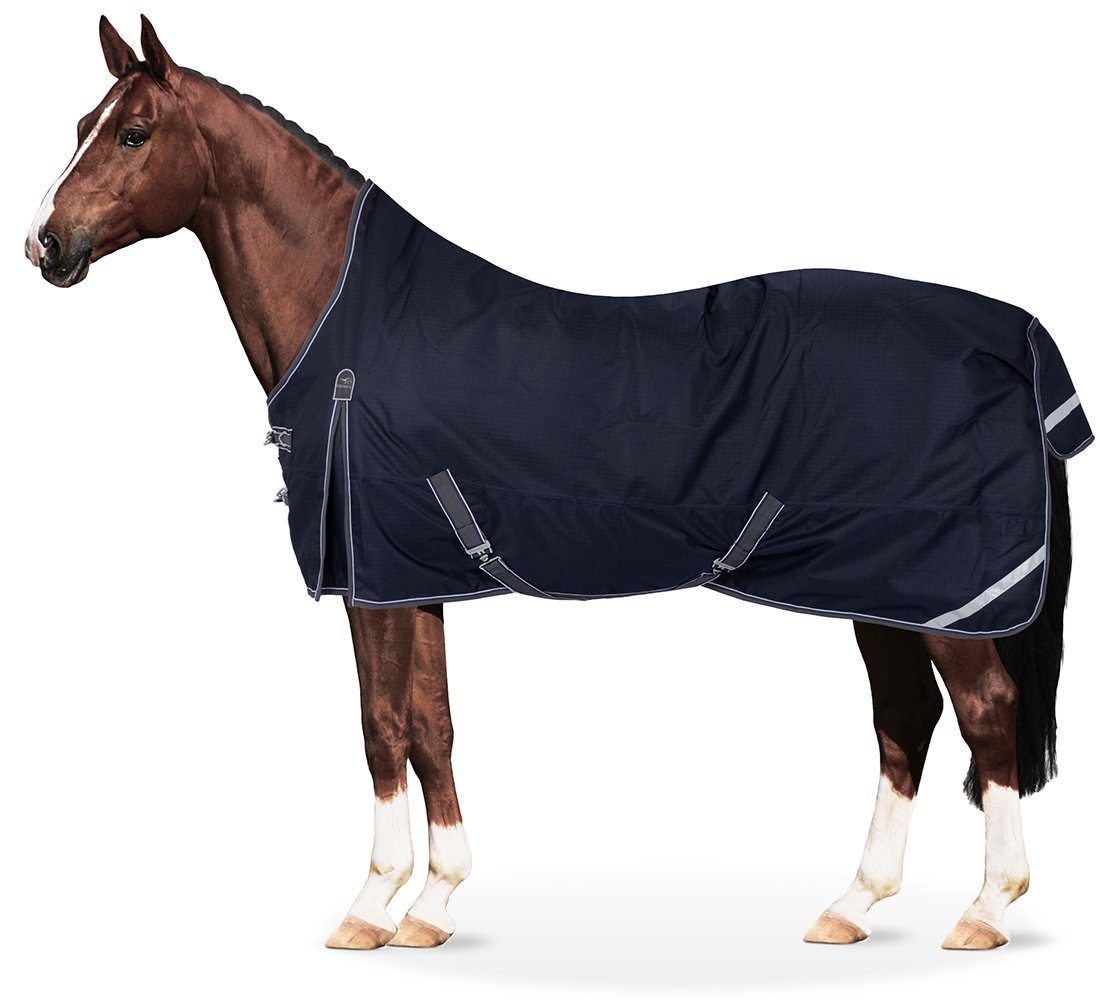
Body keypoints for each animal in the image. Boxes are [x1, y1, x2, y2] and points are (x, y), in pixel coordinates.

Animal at [24, 16, 1078, 952]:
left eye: (132, 131)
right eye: (81, 124)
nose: (45, 247)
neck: (358, 326)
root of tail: (1014, 334)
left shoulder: (370, 579)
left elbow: (379, 727)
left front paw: (370, 907)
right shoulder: (413, 577)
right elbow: (431, 726)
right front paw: (434, 905)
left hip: (942, 597)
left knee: (986, 717)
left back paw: (985, 911)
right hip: (883, 591)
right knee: (905, 724)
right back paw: (853, 906)